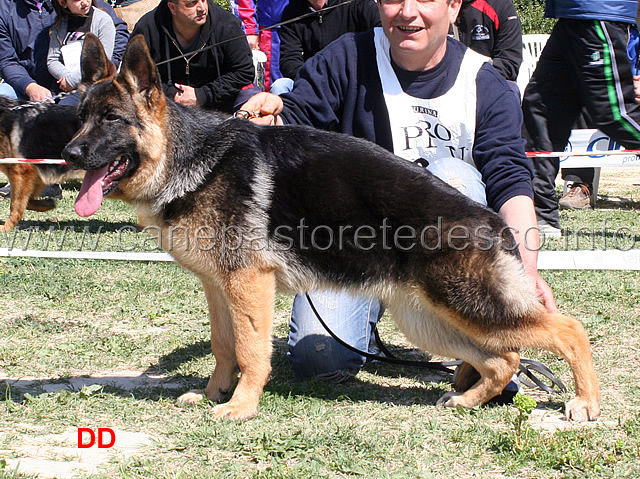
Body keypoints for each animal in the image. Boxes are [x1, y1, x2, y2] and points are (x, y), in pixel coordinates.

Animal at [0, 96, 81, 232]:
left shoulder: (20, 171)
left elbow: (15, 204)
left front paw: (6, 227)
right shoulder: (35, 174)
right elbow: (27, 201)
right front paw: (47, 204)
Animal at [62, 35, 604, 422]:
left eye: (111, 119)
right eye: (80, 118)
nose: (68, 154)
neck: (189, 160)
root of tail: (493, 221)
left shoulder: (248, 285)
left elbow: (251, 350)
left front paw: (240, 406)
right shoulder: (219, 288)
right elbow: (223, 346)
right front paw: (214, 393)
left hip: (470, 306)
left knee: (567, 330)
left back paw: (585, 403)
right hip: (429, 318)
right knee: (503, 359)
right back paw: (466, 402)